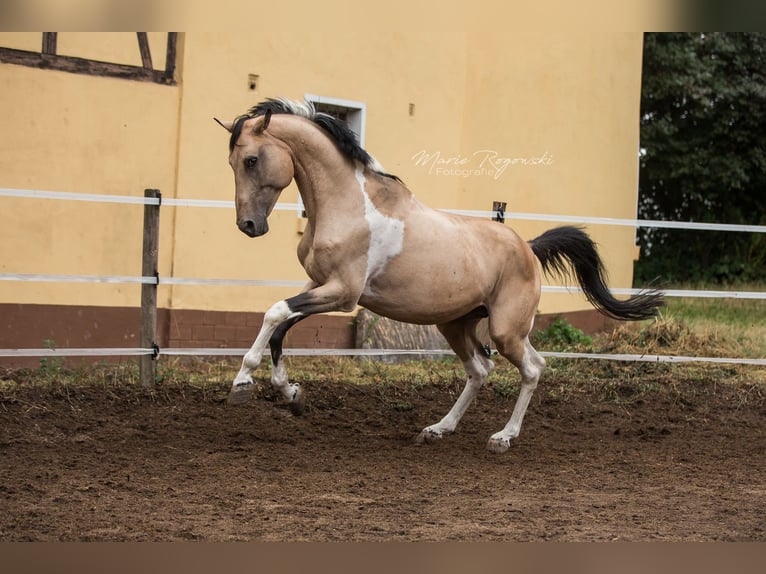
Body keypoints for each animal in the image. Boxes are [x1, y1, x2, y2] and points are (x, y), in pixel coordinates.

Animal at [215, 98, 663, 453]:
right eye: (232, 162)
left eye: (251, 160)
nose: (249, 225)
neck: (350, 206)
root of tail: (527, 247)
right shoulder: (320, 286)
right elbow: (281, 325)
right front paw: (290, 392)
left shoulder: (342, 293)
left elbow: (274, 314)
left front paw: (242, 384)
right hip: (458, 323)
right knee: (483, 370)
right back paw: (438, 429)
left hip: (505, 329)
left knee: (532, 369)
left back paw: (502, 438)